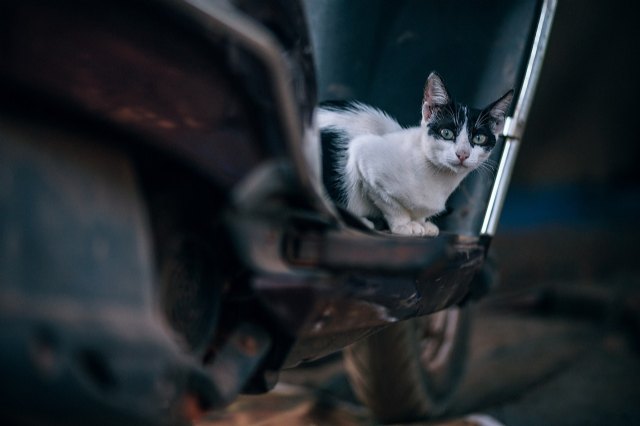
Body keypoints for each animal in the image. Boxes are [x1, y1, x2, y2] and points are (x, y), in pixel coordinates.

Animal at [320, 72, 516, 236]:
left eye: (479, 138)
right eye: (447, 133)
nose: (462, 154)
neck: (439, 180)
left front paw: (422, 222)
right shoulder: (364, 158)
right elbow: (391, 204)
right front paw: (405, 225)